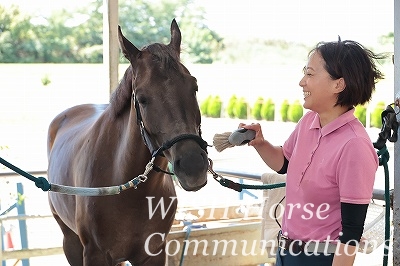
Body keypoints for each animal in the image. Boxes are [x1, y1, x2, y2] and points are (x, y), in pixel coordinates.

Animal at [47, 19, 209, 264]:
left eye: (195, 87)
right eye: (142, 98)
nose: (193, 166)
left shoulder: (152, 253)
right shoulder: (94, 255)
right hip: (70, 241)